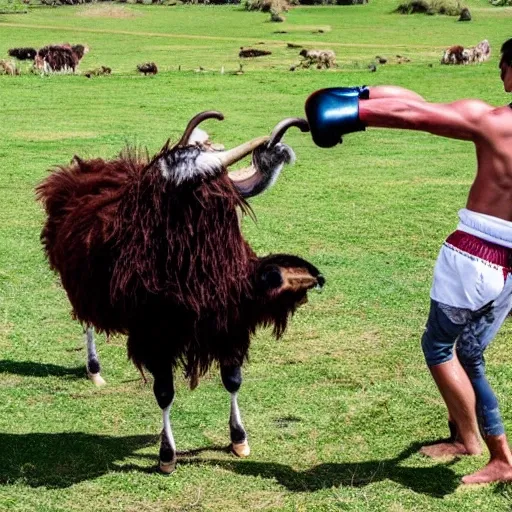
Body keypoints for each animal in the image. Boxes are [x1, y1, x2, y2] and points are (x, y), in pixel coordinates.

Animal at [36, 112, 324, 472]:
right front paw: (166, 455)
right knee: (86, 322)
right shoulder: (155, 337)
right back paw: (94, 370)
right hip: (78, 285)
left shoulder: (229, 324)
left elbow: (232, 379)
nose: (287, 137)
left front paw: (239, 440)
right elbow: (164, 392)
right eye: (181, 160)